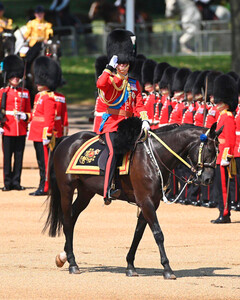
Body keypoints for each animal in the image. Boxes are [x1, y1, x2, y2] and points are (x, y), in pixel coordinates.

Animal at [42, 122, 221, 278]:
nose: (208, 179)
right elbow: (158, 234)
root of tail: (67, 139)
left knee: (72, 218)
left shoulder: (151, 203)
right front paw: (167, 268)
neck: (153, 157)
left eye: (218, 150)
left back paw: (64, 256)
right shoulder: (146, 201)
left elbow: (138, 234)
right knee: (67, 220)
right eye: (210, 149)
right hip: (67, 189)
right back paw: (72, 263)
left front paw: (130, 266)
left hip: (86, 192)